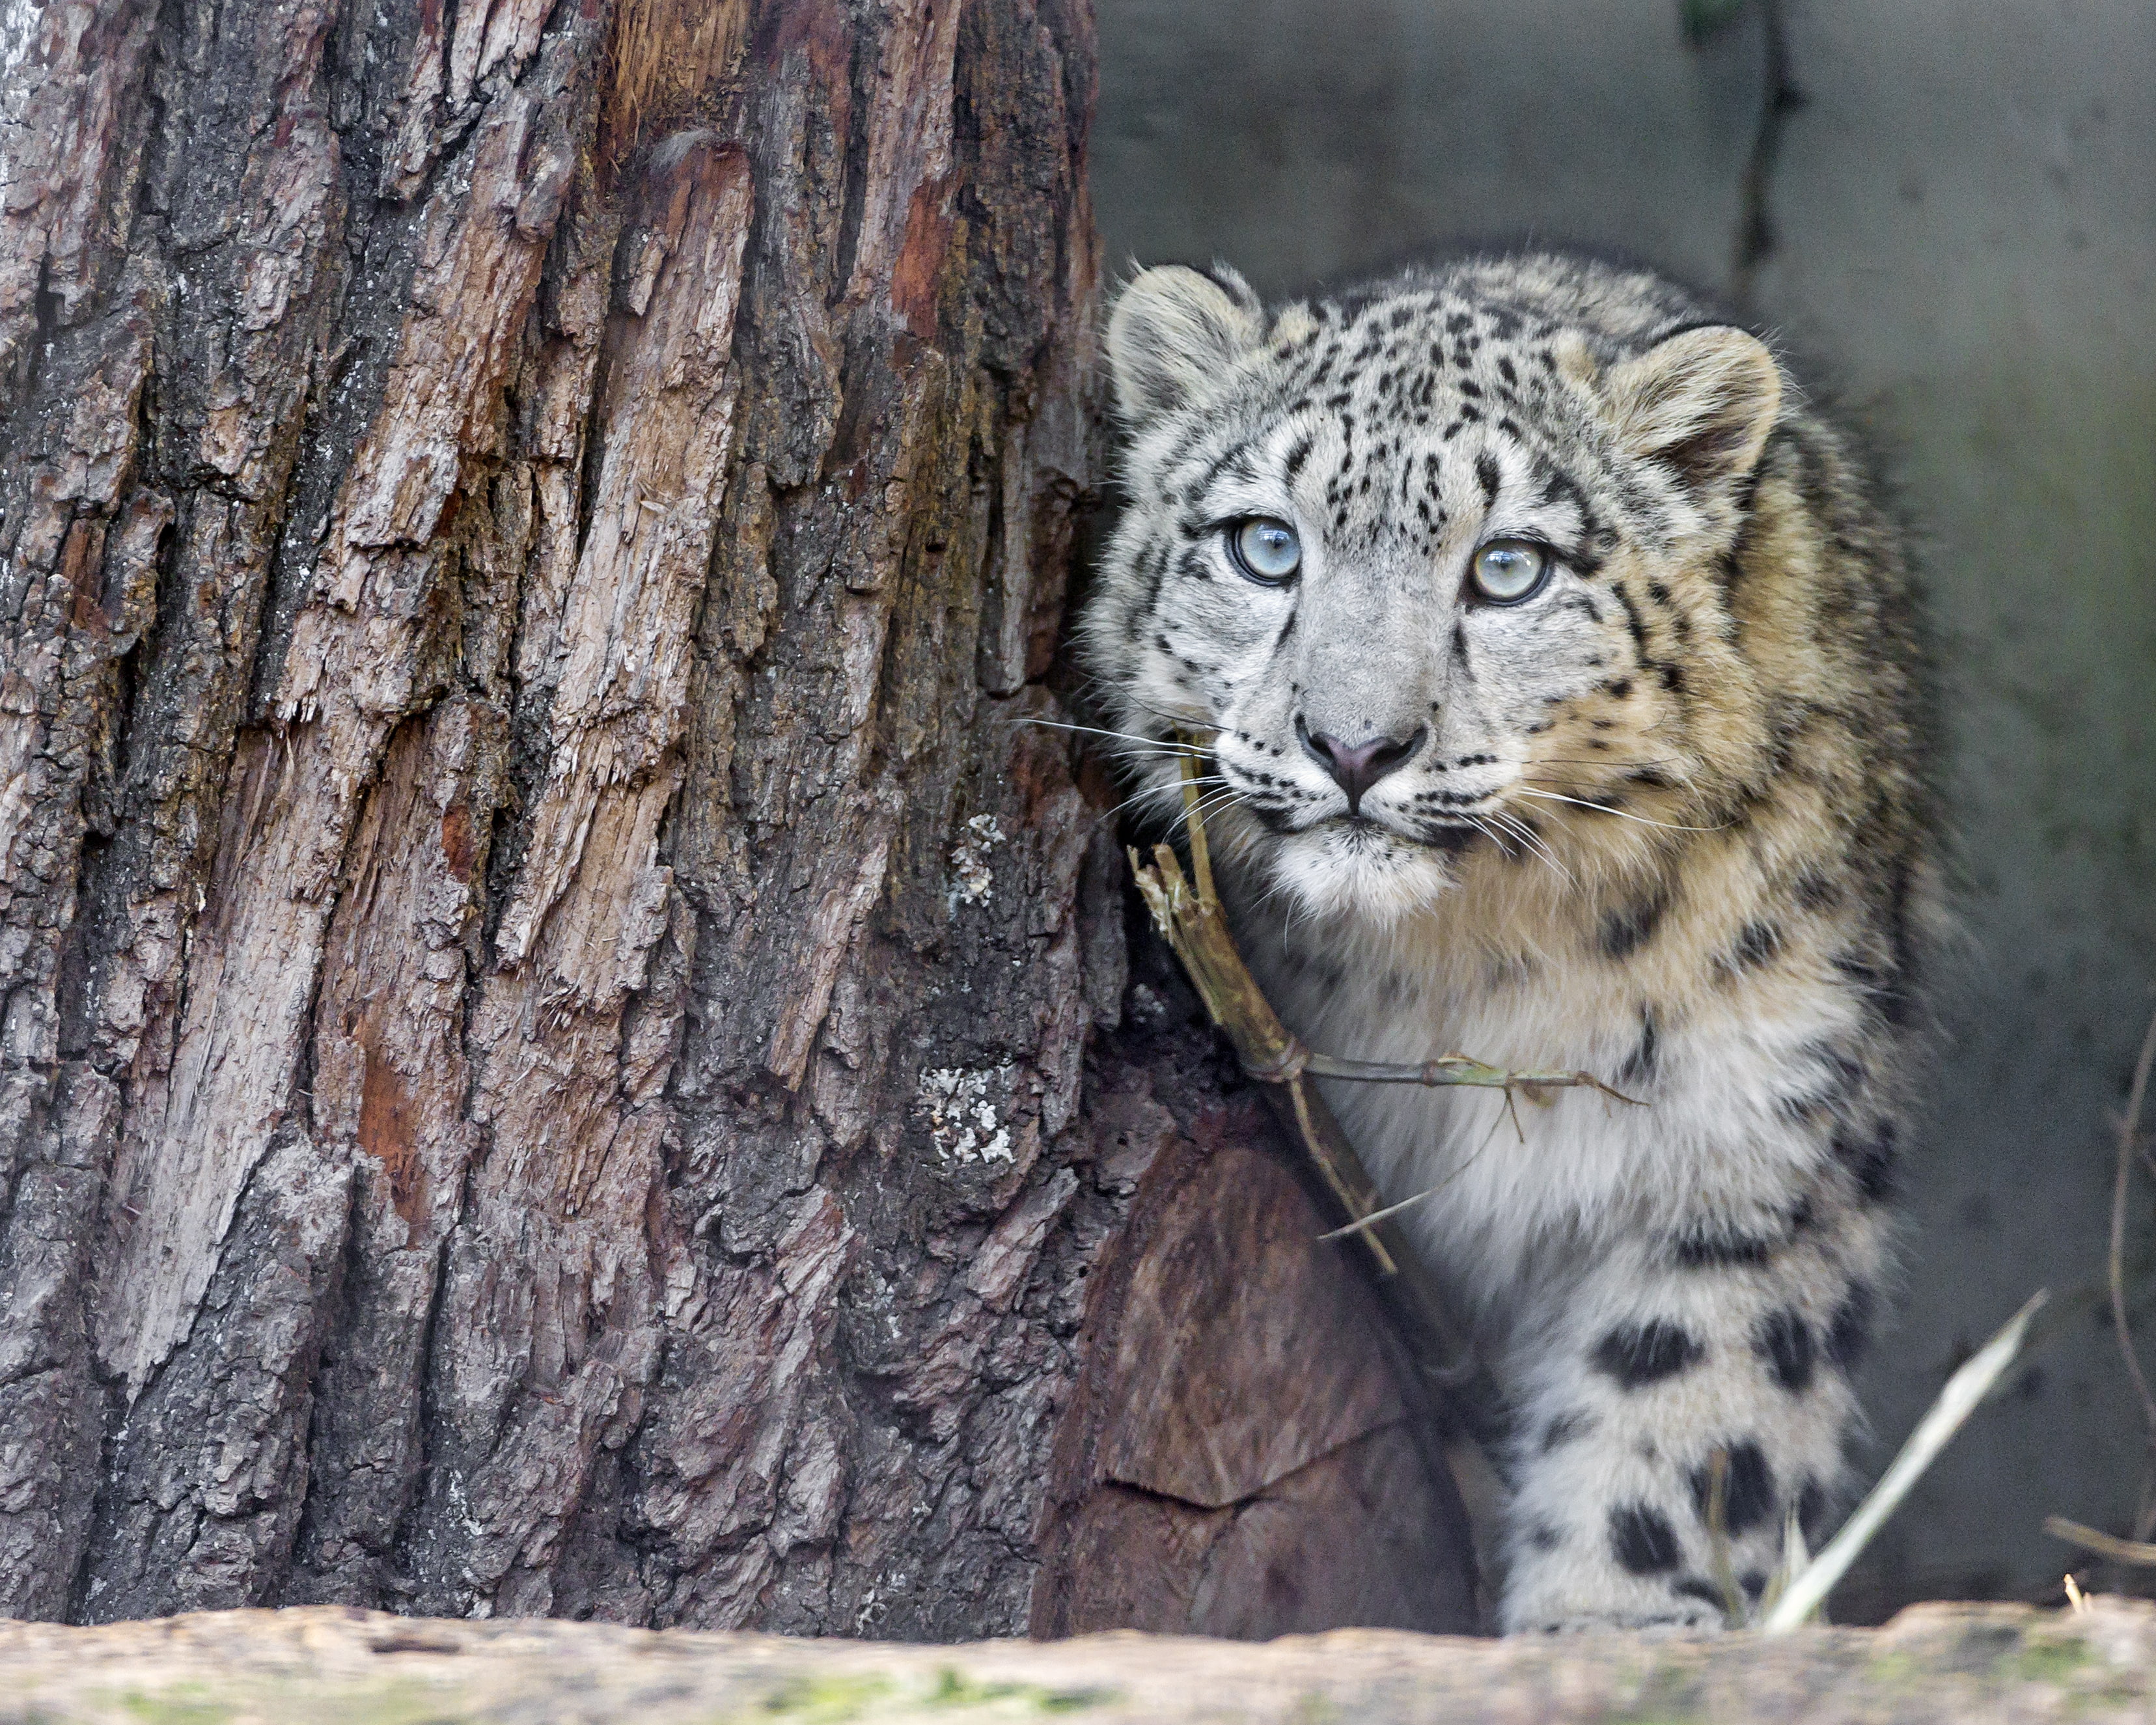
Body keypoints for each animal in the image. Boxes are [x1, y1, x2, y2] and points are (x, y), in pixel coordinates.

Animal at [1077, 251, 1942, 1632]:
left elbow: (1687, 1406)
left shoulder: (1751, 1141)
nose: (1354, 745)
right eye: (1266, 546)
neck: (1472, 972)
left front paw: (1614, 1628)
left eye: (1508, 569)